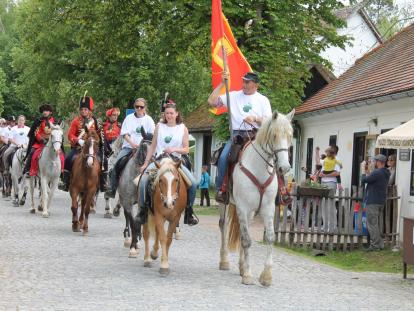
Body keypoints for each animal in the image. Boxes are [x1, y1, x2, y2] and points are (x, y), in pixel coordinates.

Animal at [220, 109, 294, 288]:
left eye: (290, 136)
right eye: (274, 135)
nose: (284, 167)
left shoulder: (267, 208)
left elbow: (270, 237)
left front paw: (266, 276)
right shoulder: (242, 207)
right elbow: (246, 240)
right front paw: (248, 275)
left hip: (251, 213)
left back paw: (240, 266)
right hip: (226, 205)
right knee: (224, 227)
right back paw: (224, 261)